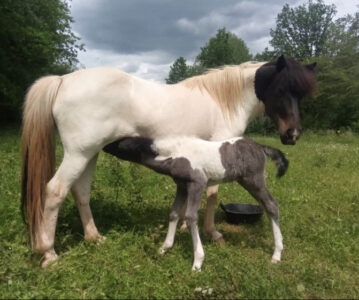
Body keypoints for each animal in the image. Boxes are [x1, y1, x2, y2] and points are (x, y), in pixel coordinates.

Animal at [103, 136, 290, 270]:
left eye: (119, 142)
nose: (103, 146)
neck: (175, 153)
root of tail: (261, 147)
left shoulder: (197, 183)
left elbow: (191, 217)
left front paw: (198, 262)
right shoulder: (182, 186)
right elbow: (174, 213)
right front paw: (164, 248)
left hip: (254, 181)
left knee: (272, 205)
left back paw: (277, 254)